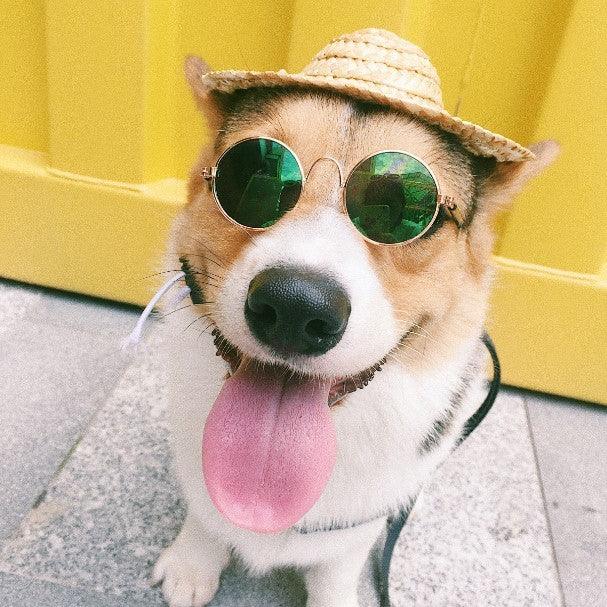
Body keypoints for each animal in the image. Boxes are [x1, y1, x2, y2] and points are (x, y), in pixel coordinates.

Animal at [151, 34, 556, 607]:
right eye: (251, 175)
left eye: (406, 206)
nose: (296, 308)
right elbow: (205, 516)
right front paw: (192, 563)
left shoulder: (351, 532)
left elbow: (336, 569)